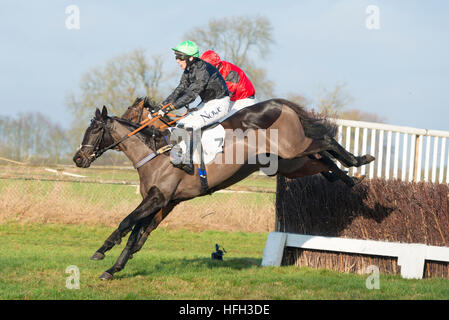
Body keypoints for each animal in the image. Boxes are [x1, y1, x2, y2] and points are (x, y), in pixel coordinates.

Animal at [74, 99, 374, 278]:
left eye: (94, 131)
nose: (78, 158)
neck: (157, 152)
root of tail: (278, 103)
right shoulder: (164, 202)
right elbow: (137, 235)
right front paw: (114, 268)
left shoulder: (158, 198)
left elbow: (126, 222)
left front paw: (102, 251)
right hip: (292, 161)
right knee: (323, 159)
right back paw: (348, 175)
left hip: (293, 148)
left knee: (326, 141)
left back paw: (360, 161)